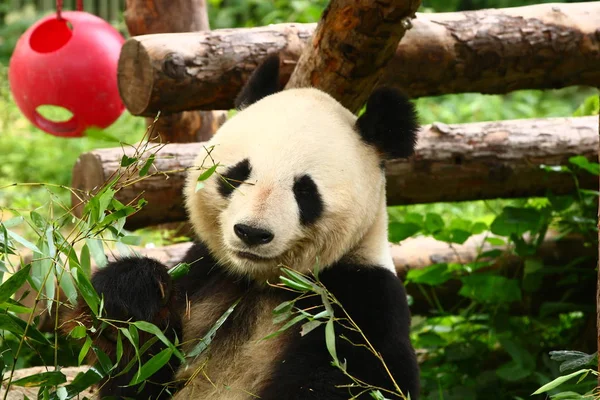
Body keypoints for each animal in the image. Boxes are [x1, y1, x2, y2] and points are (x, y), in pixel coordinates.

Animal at [64, 55, 422, 400]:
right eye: (236, 174)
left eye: (305, 191)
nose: (252, 233)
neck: (260, 283)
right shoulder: (206, 277)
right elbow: (138, 368)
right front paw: (133, 291)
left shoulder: (360, 303)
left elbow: (355, 382)